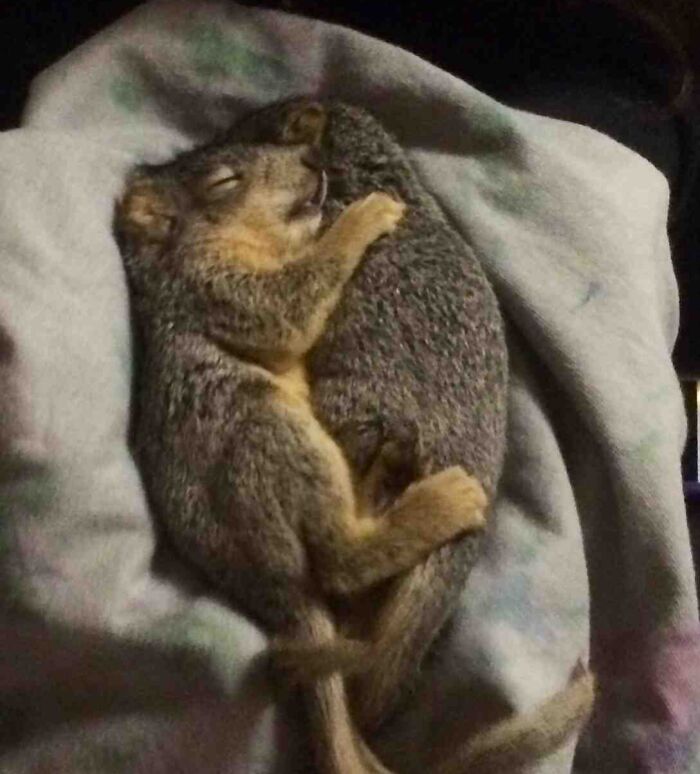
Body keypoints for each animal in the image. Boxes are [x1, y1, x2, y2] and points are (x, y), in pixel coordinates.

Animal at [115, 104, 488, 774]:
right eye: (223, 181)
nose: (314, 162)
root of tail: (269, 584)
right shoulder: (217, 291)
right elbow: (292, 302)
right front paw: (364, 214)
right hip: (268, 435)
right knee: (341, 561)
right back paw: (440, 502)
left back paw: (386, 476)